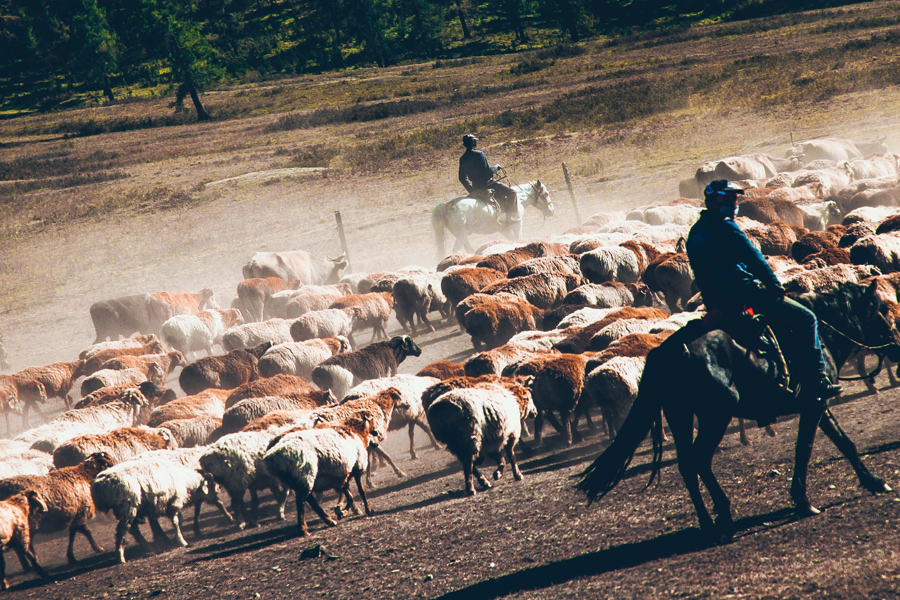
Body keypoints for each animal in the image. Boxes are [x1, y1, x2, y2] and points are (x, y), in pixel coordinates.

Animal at [90, 448, 232, 564]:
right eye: (211, 485)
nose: (218, 500)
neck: (187, 480)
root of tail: (99, 485)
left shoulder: (170, 504)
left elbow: (180, 520)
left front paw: (174, 538)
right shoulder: (175, 501)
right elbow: (176, 521)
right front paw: (181, 540)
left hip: (130, 508)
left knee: (133, 529)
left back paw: (149, 547)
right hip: (127, 506)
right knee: (122, 531)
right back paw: (121, 556)